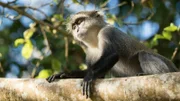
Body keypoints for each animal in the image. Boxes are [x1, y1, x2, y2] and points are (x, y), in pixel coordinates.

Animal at [46, 10, 179, 98]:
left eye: (80, 21)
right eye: (74, 26)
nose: (77, 30)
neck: (95, 41)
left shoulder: (108, 32)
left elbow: (113, 55)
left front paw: (89, 77)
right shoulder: (89, 52)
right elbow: (99, 75)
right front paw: (63, 74)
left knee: (143, 54)